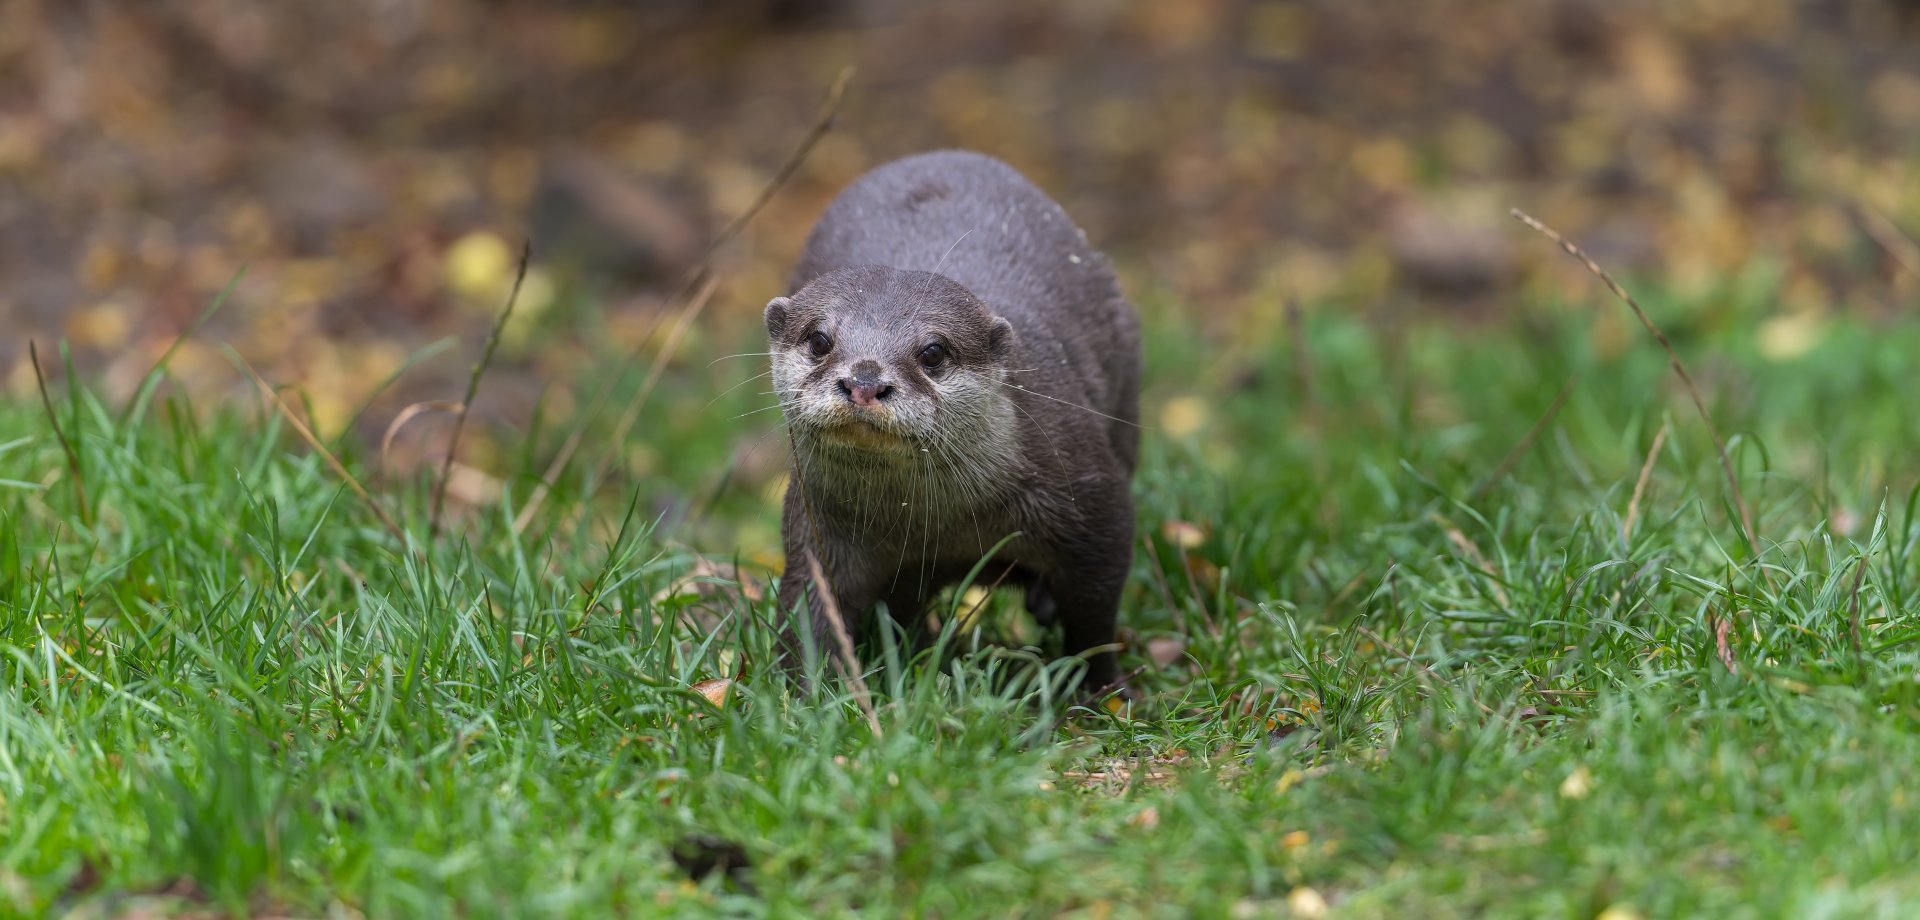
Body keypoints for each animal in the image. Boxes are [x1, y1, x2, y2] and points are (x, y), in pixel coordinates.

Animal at [766, 150, 1141, 692]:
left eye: (933, 351)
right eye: (819, 339)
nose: (864, 380)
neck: (938, 526)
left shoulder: (1093, 501)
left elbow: (1095, 613)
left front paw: (1099, 690)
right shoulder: (817, 525)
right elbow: (809, 610)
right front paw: (804, 694)